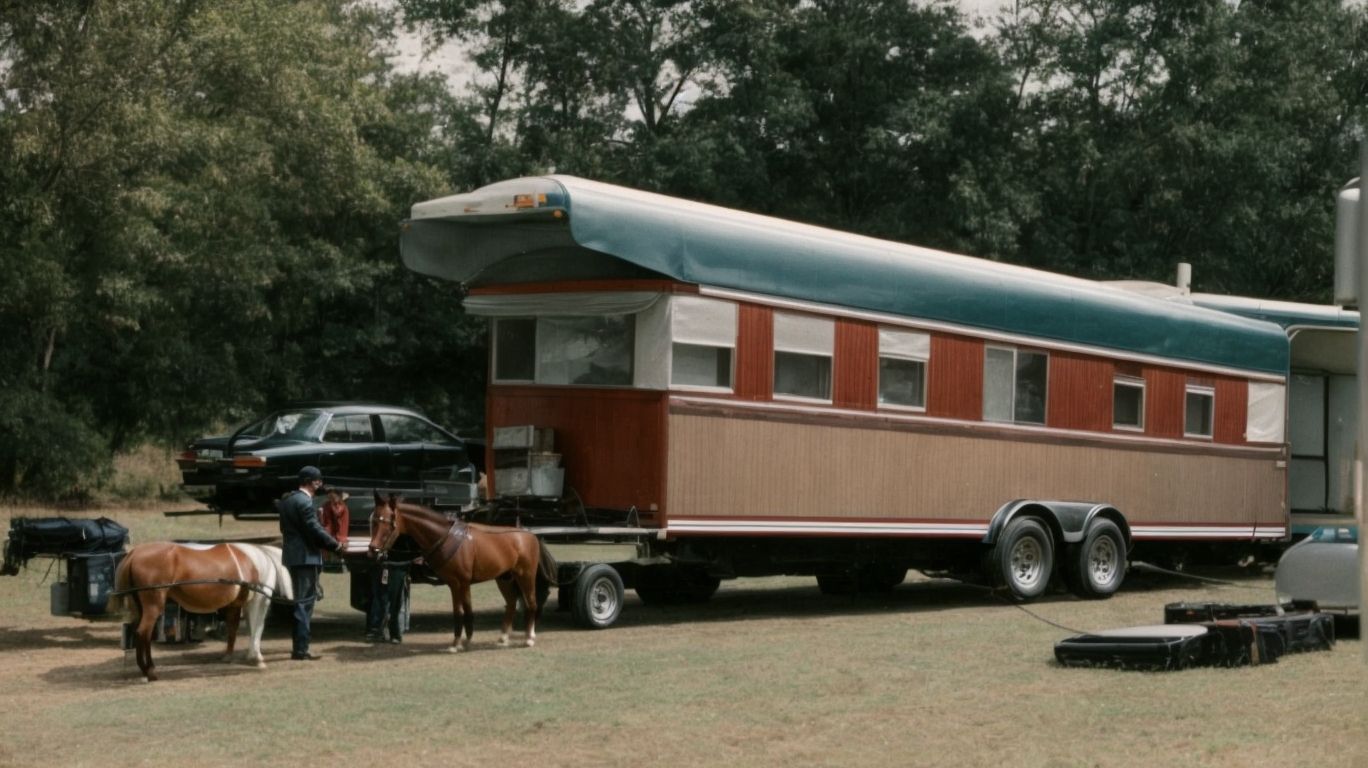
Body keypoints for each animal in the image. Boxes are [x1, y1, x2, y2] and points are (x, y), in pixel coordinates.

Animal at [114, 542, 293, 682]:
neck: (257, 560)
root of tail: (134, 553)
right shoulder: (258, 600)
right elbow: (256, 628)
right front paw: (257, 657)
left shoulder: (236, 605)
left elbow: (234, 630)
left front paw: (230, 656)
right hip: (153, 606)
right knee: (143, 633)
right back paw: (149, 671)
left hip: (141, 606)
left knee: (143, 634)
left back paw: (147, 669)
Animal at [368, 493, 557, 652]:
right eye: (373, 521)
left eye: (387, 522)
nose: (373, 551)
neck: (445, 537)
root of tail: (530, 536)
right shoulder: (454, 584)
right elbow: (460, 611)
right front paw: (460, 642)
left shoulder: (462, 583)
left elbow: (465, 611)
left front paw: (461, 642)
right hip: (504, 578)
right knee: (511, 604)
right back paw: (503, 638)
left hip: (526, 576)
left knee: (531, 603)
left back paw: (529, 638)